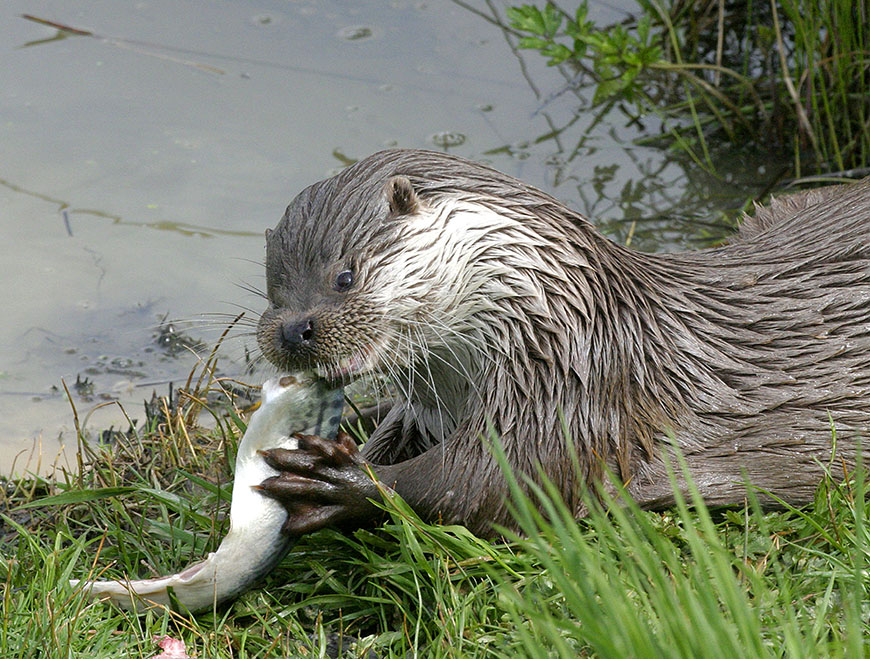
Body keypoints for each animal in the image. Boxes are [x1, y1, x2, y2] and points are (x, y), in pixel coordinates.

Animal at [255, 149, 870, 537]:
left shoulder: (574, 391)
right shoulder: (433, 406)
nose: (292, 329)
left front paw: (340, 480)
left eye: (345, 276)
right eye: (273, 286)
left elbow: (488, 485)